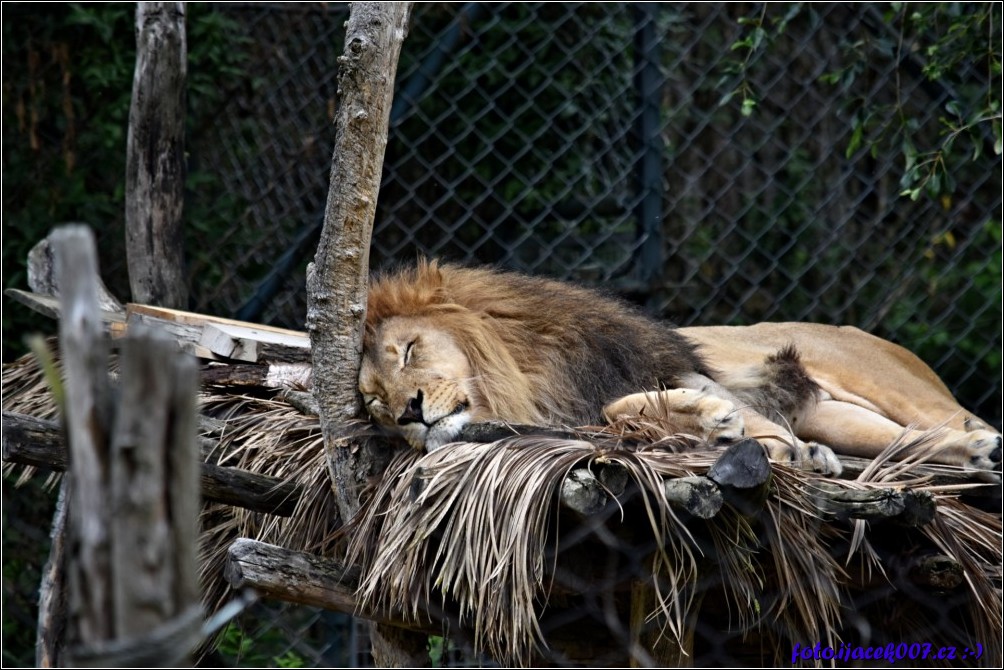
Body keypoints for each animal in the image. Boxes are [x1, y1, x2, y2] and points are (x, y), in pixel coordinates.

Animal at [357, 259, 999, 480]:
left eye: (408, 350)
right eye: (374, 403)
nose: (409, 412)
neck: (524, 376)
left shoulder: (675, 366)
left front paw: (718, 420)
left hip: (888, 384)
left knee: (952, 420)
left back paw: (980, 445)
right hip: (841, 417)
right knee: (907, 440)